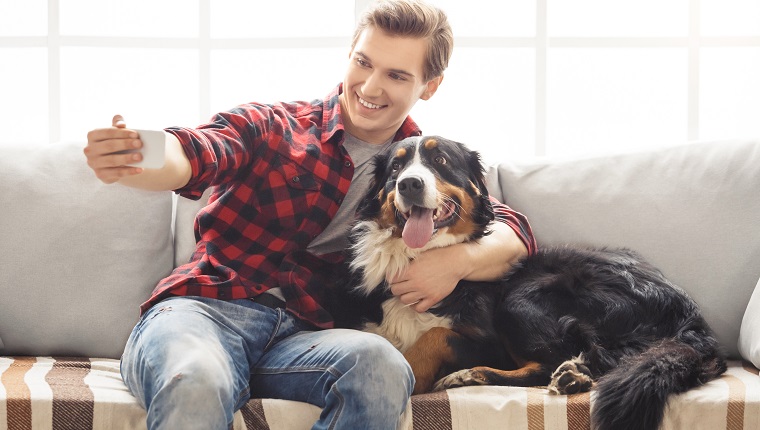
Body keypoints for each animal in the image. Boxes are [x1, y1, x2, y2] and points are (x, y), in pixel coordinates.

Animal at [330, 135, 728, 430]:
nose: (409, 183)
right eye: (396, 166)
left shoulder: (488, 341)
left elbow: (435, 335)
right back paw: (573, 377)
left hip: (522, 299)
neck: (420, 255)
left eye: (440, 160)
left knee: (551, 363)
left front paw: (417, 369)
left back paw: (481, 376)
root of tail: (690, 316)